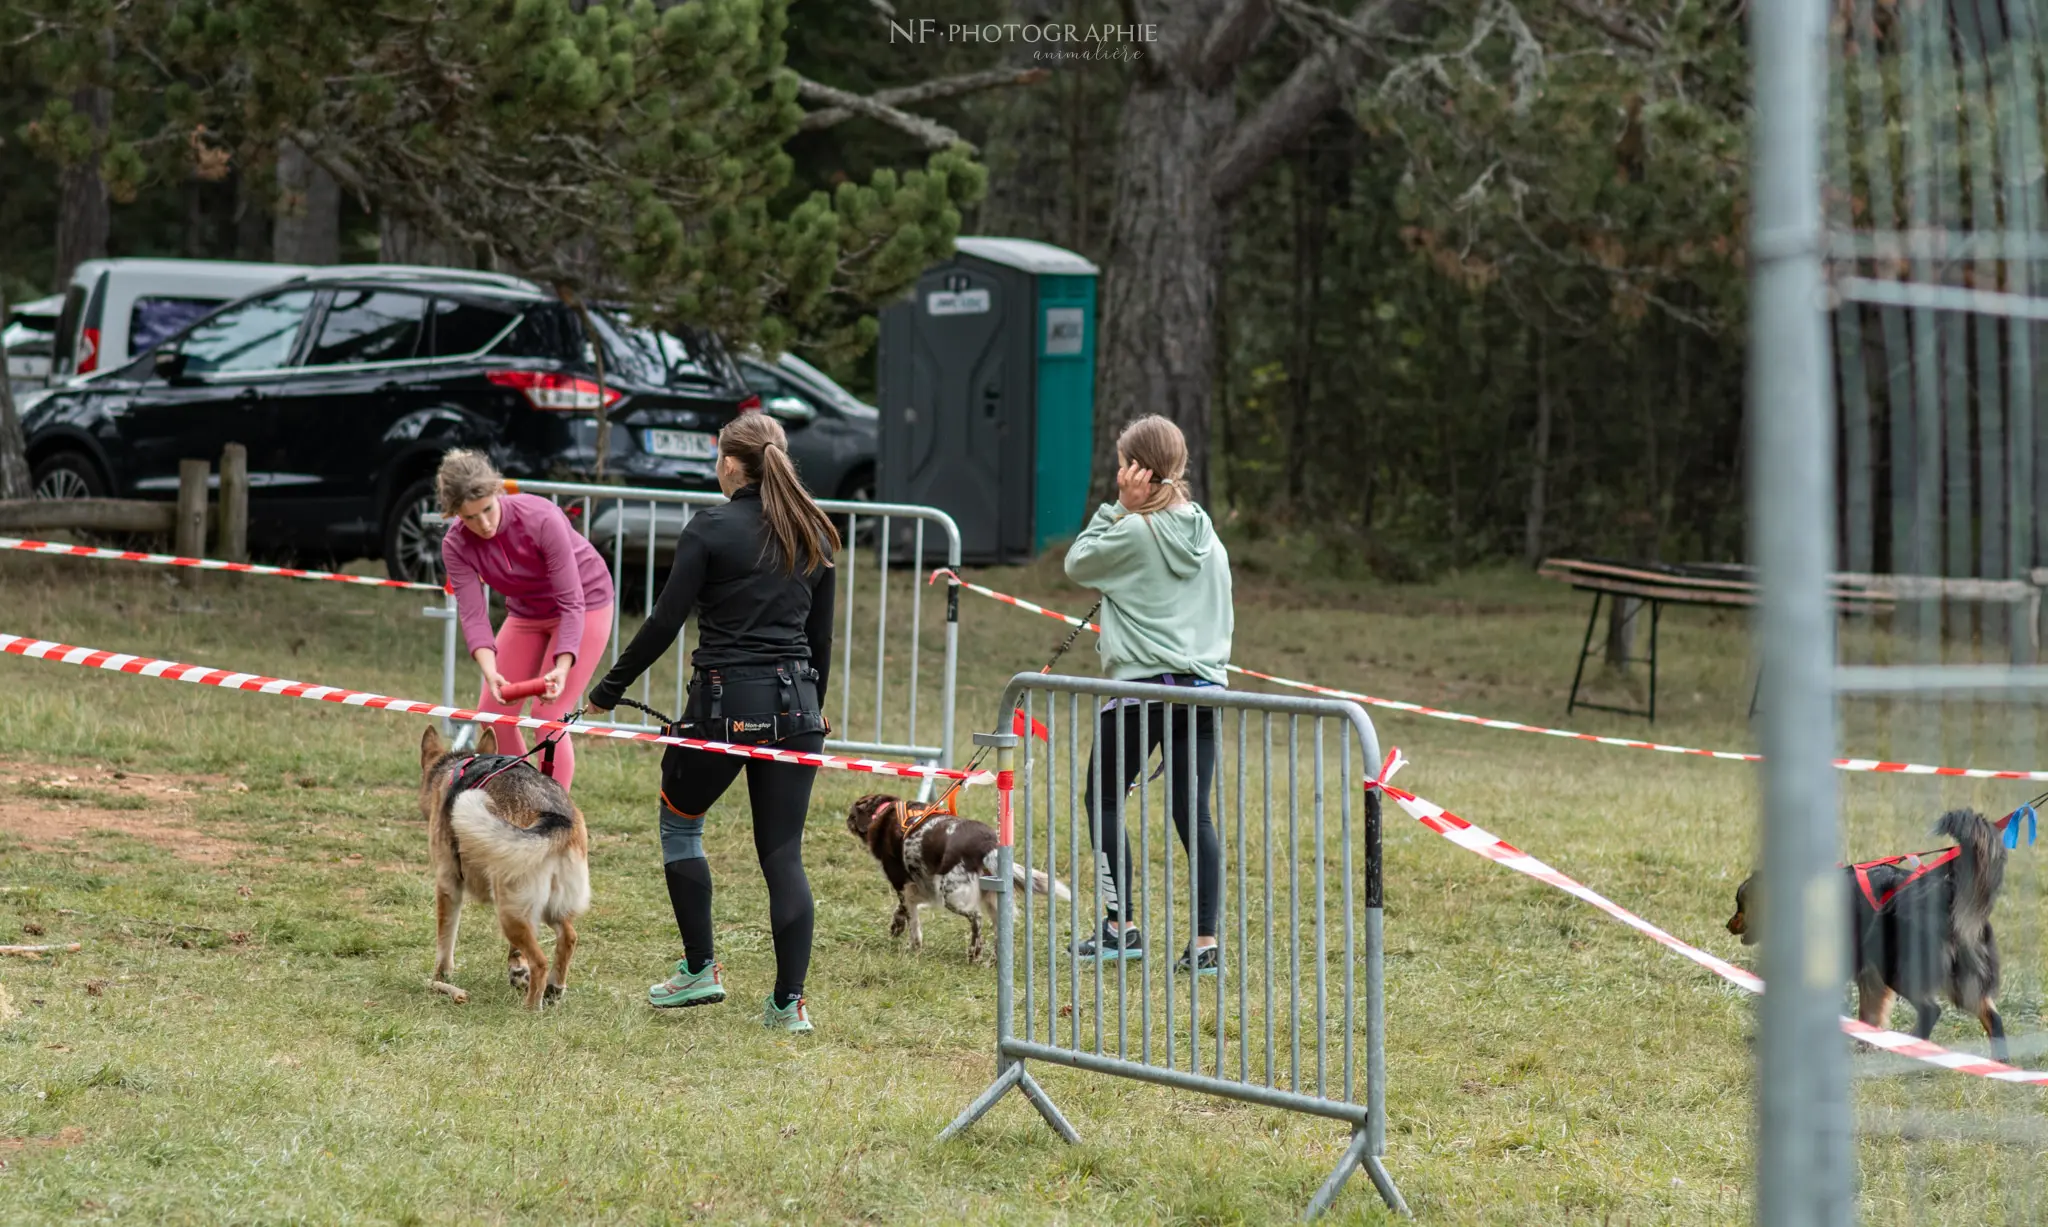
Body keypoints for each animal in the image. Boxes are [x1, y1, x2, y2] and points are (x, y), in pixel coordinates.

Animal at [417, 729, 593, 1007]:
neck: (456, 767)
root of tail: (553, 817)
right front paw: (517, 971)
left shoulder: (448, 885)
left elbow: (445, 942)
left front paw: (440, 980)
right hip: (546, 907)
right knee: (568, 937)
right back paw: (554, 989)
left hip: (509, 912)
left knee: (540, 961)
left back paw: (530, 1009)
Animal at [843, 790, 1073, 966]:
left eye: (852, 813)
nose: (847, 819)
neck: (884, 813)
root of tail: (987, 844)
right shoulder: (921, 885)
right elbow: (905, 910)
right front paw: (897, 926)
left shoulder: (903, 882)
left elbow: (912, 920)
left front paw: (912, 945)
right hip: (992, 898)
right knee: (999, 930)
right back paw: (994, 961)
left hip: (952, 895)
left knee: (976, 918)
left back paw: (974, 953)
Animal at [1720, 811, 2007, 1056]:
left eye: (1740, 904)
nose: (1728, 924)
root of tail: (1946, 893)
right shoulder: (1867, 972)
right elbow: (1869, 1015)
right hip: (1958, 976)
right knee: (1993, 1017)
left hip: (1897, 966)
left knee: (1931, 1010)